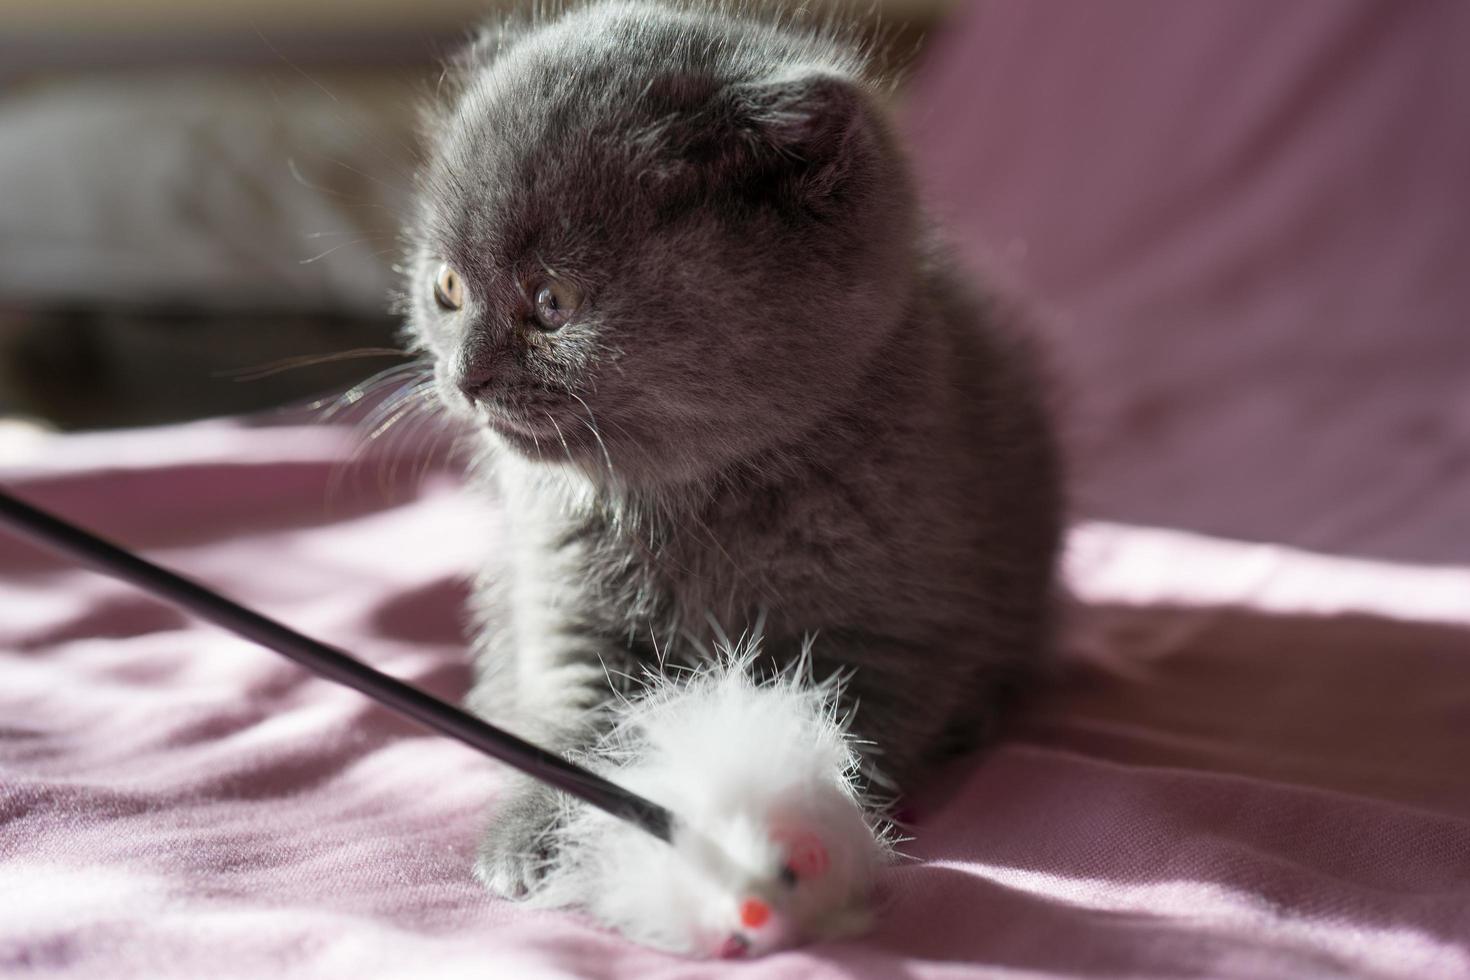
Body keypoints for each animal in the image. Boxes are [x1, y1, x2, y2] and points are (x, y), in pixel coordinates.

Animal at [405, 0, 1070, 899]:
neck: (701, 503)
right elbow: (574, 726)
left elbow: (838, 735)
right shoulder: (570, 614)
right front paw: (531, 835)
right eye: (447, 287)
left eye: (552, 302)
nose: (463, 377)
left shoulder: (886, 642)